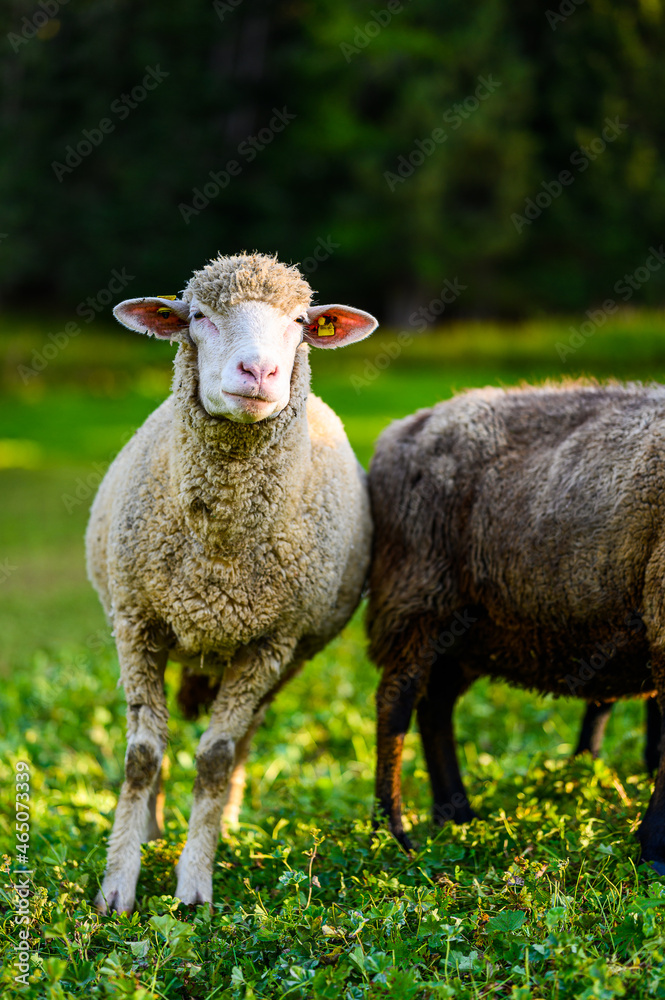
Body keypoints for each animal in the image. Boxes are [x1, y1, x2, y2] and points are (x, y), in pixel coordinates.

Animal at [86, 252, 377, 913]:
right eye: (198, 316)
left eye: (299, 321)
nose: (260, 370)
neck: (217, 561)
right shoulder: (136, 623)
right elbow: (141, 756)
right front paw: (118, 884)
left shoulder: (272, 641)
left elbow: (216, 758)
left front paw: (194, 884)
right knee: (157, 736)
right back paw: (153, 826)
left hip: (287, 658)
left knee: (242, 738)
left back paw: (228, 822)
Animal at [366, 380, 665, 872]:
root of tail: (408, 425)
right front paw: (656, 852)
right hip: (417, 593)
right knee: (396, 704)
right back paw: (390, 831)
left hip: (470, 628)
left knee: (436, 705)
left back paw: (455, 814)